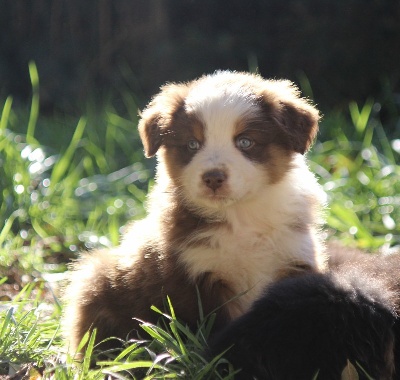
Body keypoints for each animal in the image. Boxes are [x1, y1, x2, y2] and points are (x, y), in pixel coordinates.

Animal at [62, 70, 326, 354]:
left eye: (245, 142)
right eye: (192, 144)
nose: (213, 178)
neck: (240, 217)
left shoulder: (295, 260)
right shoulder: (195, 276)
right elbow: (212, 330)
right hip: (98, 283)